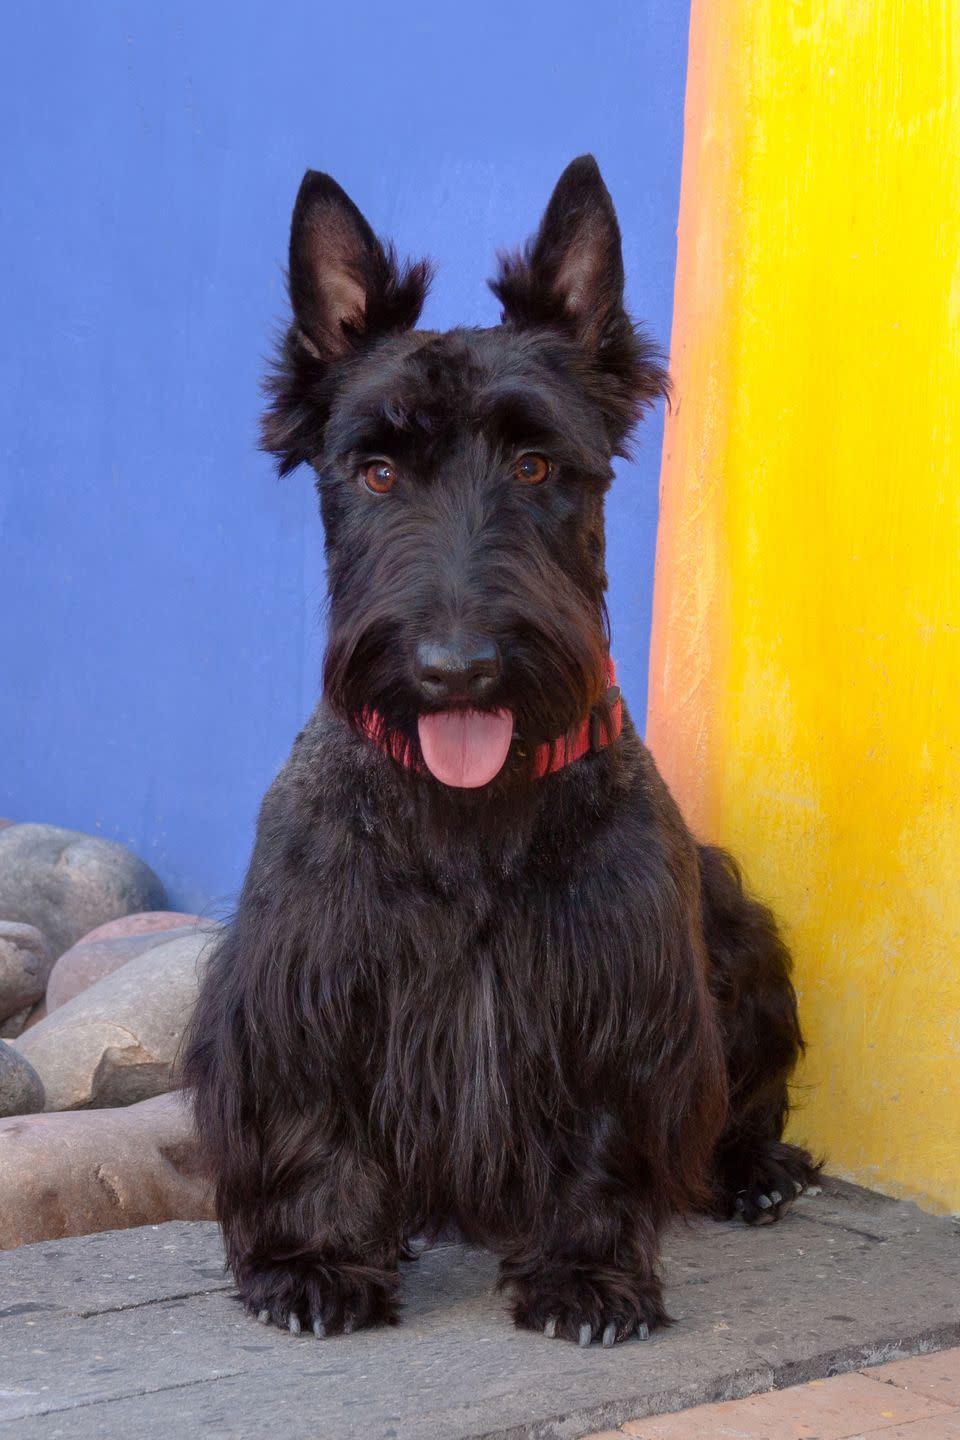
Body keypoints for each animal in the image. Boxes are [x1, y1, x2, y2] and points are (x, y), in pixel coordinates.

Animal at [182, 157, 817, 1347]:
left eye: (533, 465)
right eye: (376, 473)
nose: (457, 669)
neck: (469, 813)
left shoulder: (621, 989)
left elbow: (605, 1139)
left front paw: (589, 1276)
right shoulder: (301, 984)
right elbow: (309, 1123)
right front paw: (314, 1264)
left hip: (736, 927)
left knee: (742, 1104)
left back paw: (756, 1171)